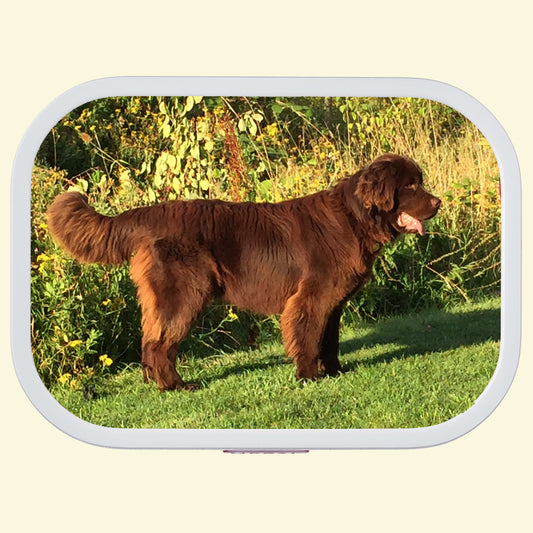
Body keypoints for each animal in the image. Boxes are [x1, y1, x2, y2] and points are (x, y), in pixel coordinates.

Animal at [47, 154, 440, 390]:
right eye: (410, 186)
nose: (439, 202)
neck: (355, 218)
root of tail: (151, 212)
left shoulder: (333, 301)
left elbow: (329, 339)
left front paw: (335, 371)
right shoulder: (312, 297)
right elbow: (308, 338)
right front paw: (308, 377)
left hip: (160, 296)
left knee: (149, 339)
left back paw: (152, 382)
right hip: (185, 294)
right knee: (161, 344)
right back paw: (177, 386)